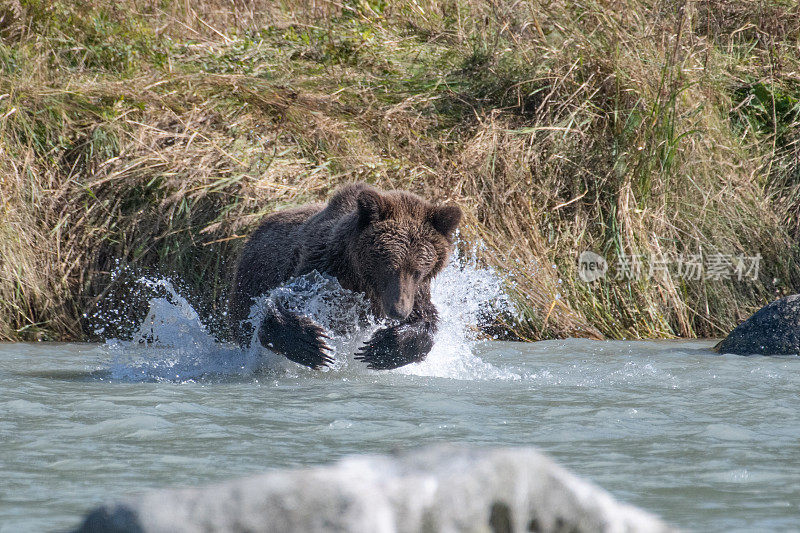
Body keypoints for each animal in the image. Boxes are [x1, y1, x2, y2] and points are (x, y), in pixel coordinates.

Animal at [227, 183, 462, 370]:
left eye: (417, 271)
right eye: (388, 266)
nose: (399, 312)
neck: (360, 279)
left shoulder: (415, 293)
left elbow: (427, 320)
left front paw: (381, 347)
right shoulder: (320, 270)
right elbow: (274, 308)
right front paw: (313, 344)